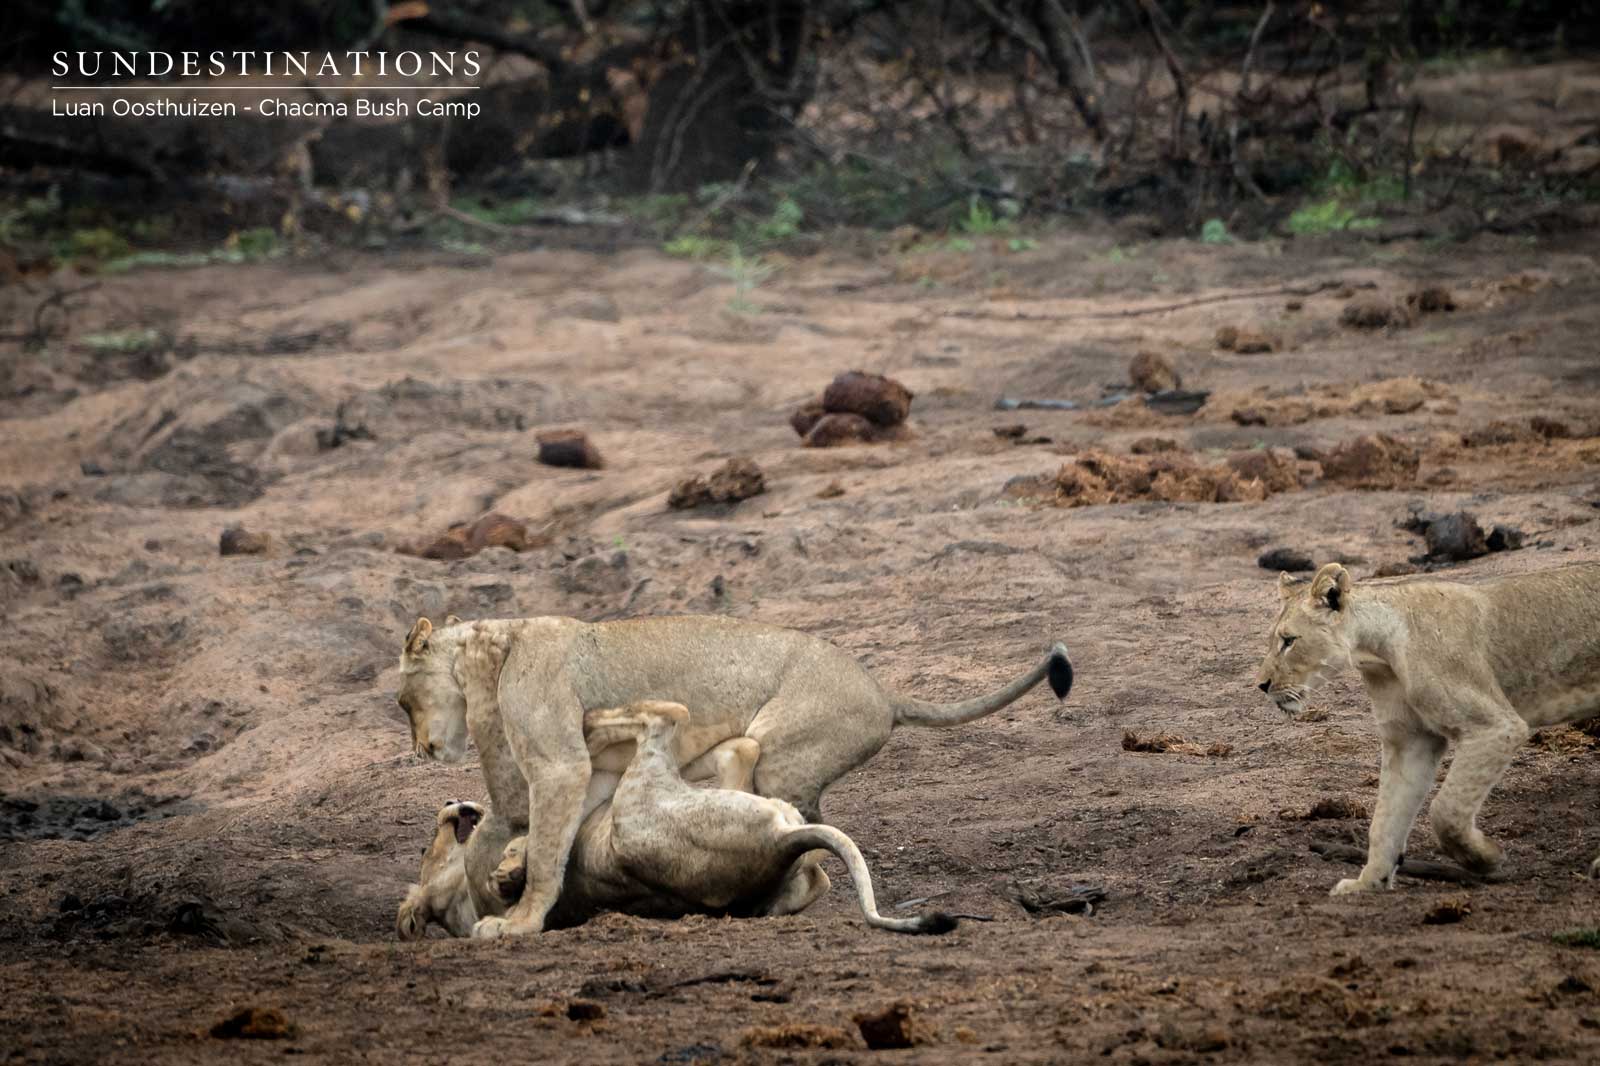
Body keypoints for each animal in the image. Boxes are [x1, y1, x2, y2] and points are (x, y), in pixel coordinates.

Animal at [397, 702, 957, 938]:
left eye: (425, 848)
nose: (450, 805)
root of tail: (779, 843)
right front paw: (512, 866)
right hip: (642, 791)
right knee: (677, 721)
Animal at [1256, 561, 1600, 895]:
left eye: (1289, 641)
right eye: (1274, 639)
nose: (1261, 685)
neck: (1380, 654)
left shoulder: (1496, 727)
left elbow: (1446, 810)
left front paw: (1485, 857)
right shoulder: (1410, 742)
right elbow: (1385, 819)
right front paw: (1368, 882)